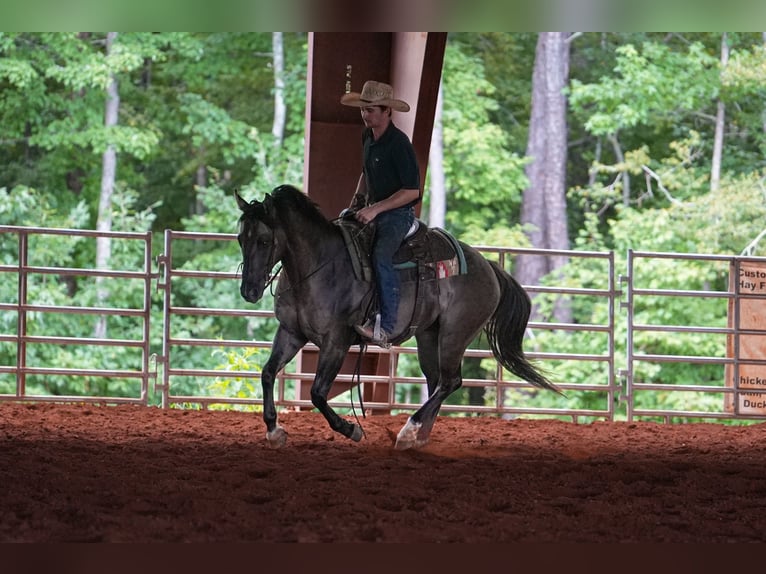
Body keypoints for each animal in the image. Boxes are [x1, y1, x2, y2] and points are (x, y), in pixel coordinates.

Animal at [236, 184, 562, 450]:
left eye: (264, 240)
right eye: (240, 238)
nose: (249, 290)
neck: (319, 267)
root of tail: (489, 267)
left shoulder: (336, 342)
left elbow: (317, 393)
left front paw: (351, 429)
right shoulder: (291, 333)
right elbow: (267, 373)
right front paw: (274, 431)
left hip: (455, 335)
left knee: (451, 381)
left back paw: (409, 431)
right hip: (429, 335)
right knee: (437, 381)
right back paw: (419, 437)